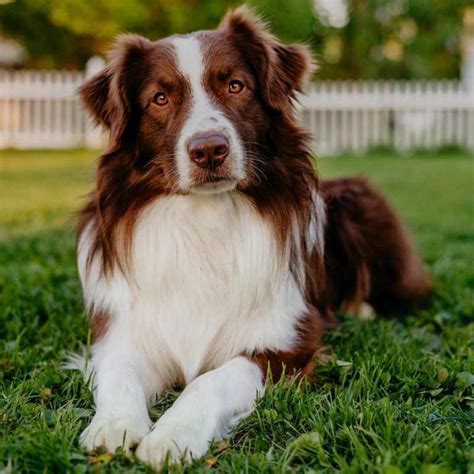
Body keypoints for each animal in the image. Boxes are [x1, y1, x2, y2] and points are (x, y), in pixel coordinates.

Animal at [73, 5, 430, 468]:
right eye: (160, 98)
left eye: (235, 85)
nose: (209, 150)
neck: (204, 218)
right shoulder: (122, 330)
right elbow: (118, 373)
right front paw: (114, 426)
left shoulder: (284, 344)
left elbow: (212, 378)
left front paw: (173, 434)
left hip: (362, 203)